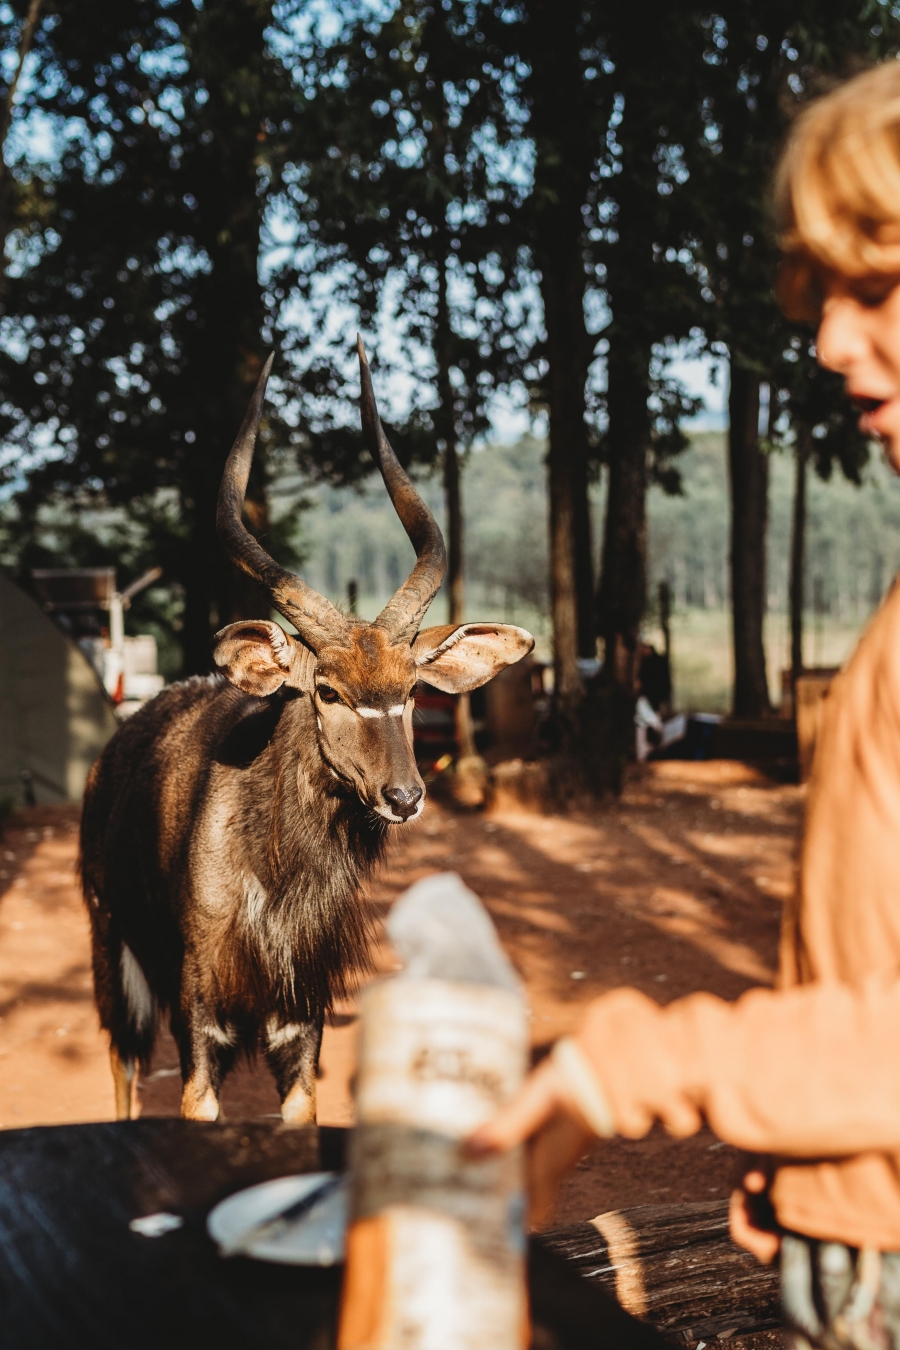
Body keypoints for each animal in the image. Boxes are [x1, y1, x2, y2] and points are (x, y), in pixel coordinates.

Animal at [79, 342, 534, 1123]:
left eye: (411, 691)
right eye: (326, 690)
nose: (404, 796)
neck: (277, 879)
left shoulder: (301, 1020)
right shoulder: (200, 1017)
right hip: (113, 951)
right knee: (121, 1066)